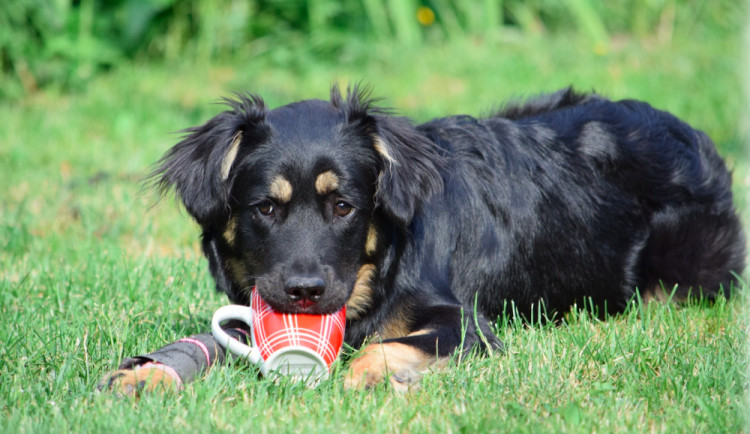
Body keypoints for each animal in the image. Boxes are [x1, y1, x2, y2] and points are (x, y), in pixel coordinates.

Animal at [101, 85, 748, 394]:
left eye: (343, 207)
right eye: (265, 208)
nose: (305, 292)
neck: (378, 269)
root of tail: (690, 134)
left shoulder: (468, 323)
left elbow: (387, 346)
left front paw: (369, 377)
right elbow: (204, 344)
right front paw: (146, 373)